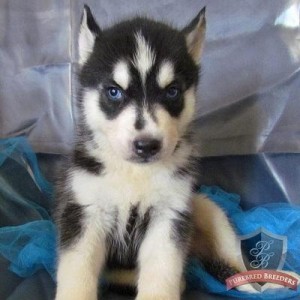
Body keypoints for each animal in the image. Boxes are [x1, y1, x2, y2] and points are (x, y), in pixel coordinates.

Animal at [54, 5, 244, 300]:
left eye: (172, 91)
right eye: (114, 92)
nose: (146, 145)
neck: (134, 173)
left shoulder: (169, 216)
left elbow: (162, 273)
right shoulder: (84, 212)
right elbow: (77, 272)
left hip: (205, 208)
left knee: (235, 262)